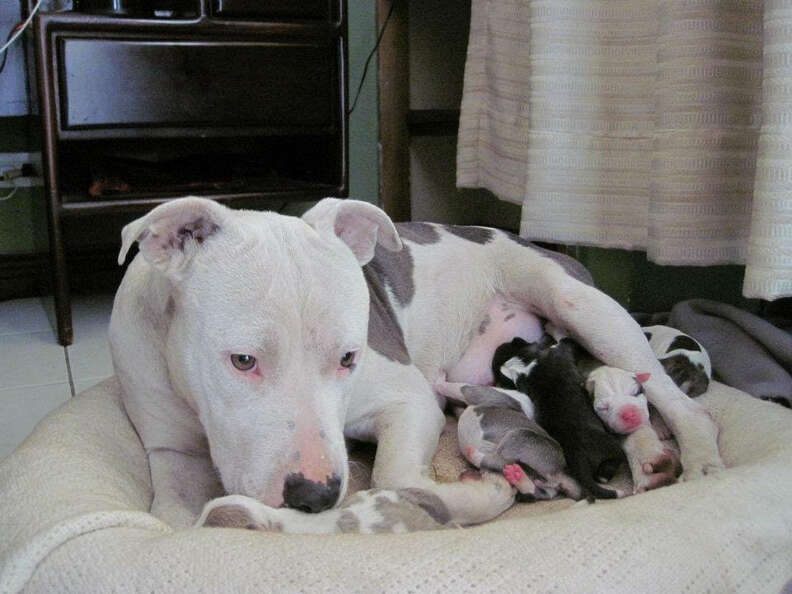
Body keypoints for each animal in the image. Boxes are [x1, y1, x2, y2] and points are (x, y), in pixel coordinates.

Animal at [496, 336, 632, 498]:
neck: (523, 364)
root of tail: (578, 457)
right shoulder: (562, 349)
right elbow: (569, 342)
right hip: (612, 446)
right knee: (615, 461)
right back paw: (604, 476)